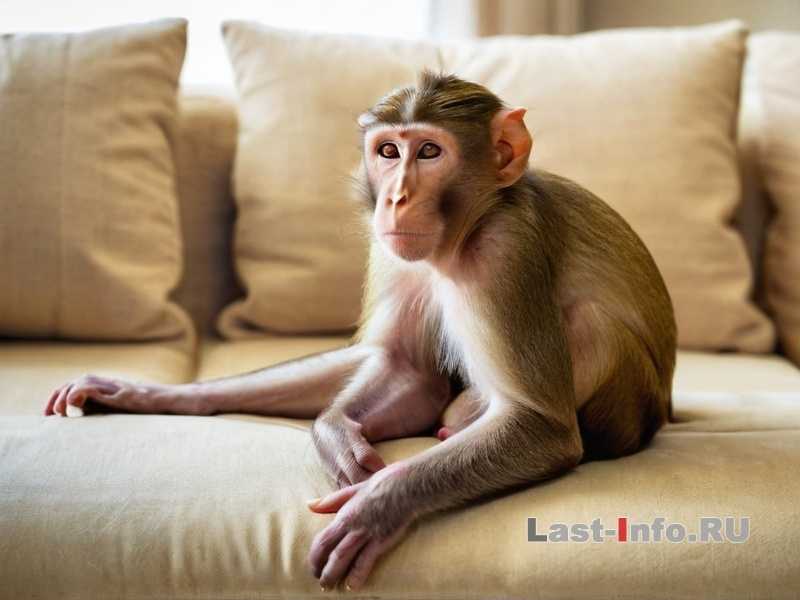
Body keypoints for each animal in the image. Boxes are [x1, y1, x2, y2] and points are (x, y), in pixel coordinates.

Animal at [45, 71, 676, 591]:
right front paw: (336, 436)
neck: (468, 229)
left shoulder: (507, 250)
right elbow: (406, 369)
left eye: (430, 150)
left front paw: (378, 505)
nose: (396, 197)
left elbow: (542, 427)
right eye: (388, 151)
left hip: (624, 407)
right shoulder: (394, 251)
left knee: (589, 327)